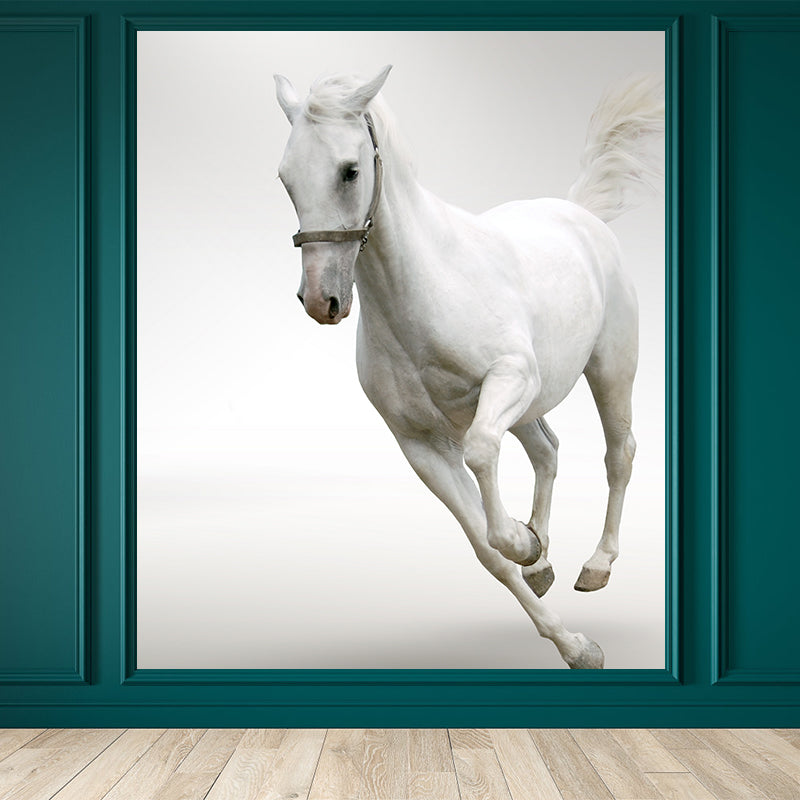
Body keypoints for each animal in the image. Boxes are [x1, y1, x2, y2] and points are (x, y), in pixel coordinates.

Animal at [274, 66, 664, 668]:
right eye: (286, 178)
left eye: (349, 171)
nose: (321, 301)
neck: (425, 290)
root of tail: (579, 213)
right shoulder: (421, 446)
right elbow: (487, 550)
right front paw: (571, 637)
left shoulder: (508, 379)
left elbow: (482, 455)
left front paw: (527, 547)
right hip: (531, 406)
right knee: (548, 451)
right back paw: (544, 561)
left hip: (609, 370)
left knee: (618, 455)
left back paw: (595, 565)